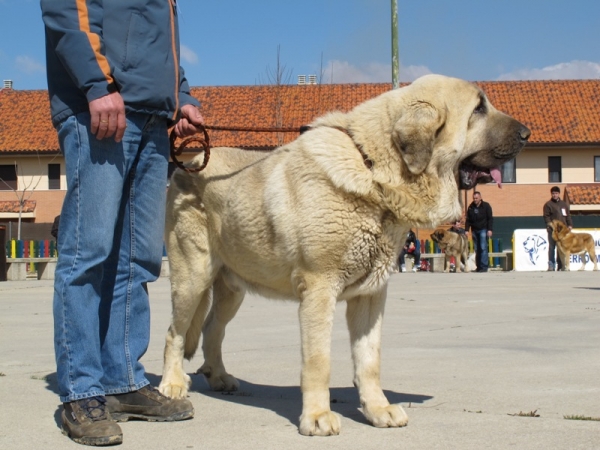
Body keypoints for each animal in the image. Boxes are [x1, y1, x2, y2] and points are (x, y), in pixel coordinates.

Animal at [159, 74, 528, 436]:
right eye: (478, 109)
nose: (526, 133)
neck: (375, 169)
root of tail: (187, 164)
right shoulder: (319, 290)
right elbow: (318, 361)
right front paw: (317, 417)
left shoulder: (371, 296)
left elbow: (369, 359)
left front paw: (378, 410)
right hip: (192, 278)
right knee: (175, 332)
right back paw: (172, 385)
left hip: (232, 289)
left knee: (212, 329)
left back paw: (219, 377)